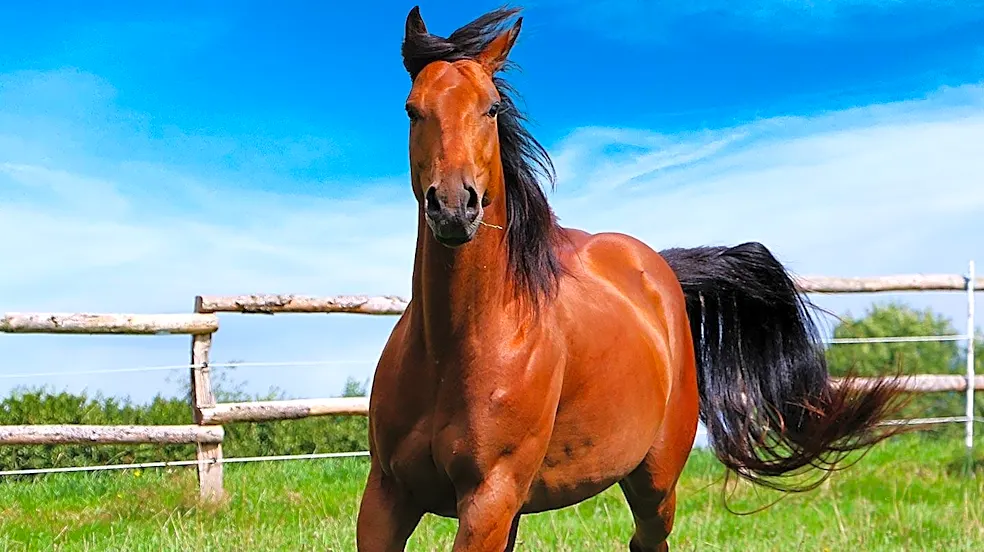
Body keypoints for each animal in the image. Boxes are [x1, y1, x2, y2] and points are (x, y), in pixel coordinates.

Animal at [356, 6, 904, 551]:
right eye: (412, 109)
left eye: (491, 109)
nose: (453, 206)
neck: (456, 346)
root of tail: (658, 268)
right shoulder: (387, 496)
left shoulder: (488, 499)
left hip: (654, 485)